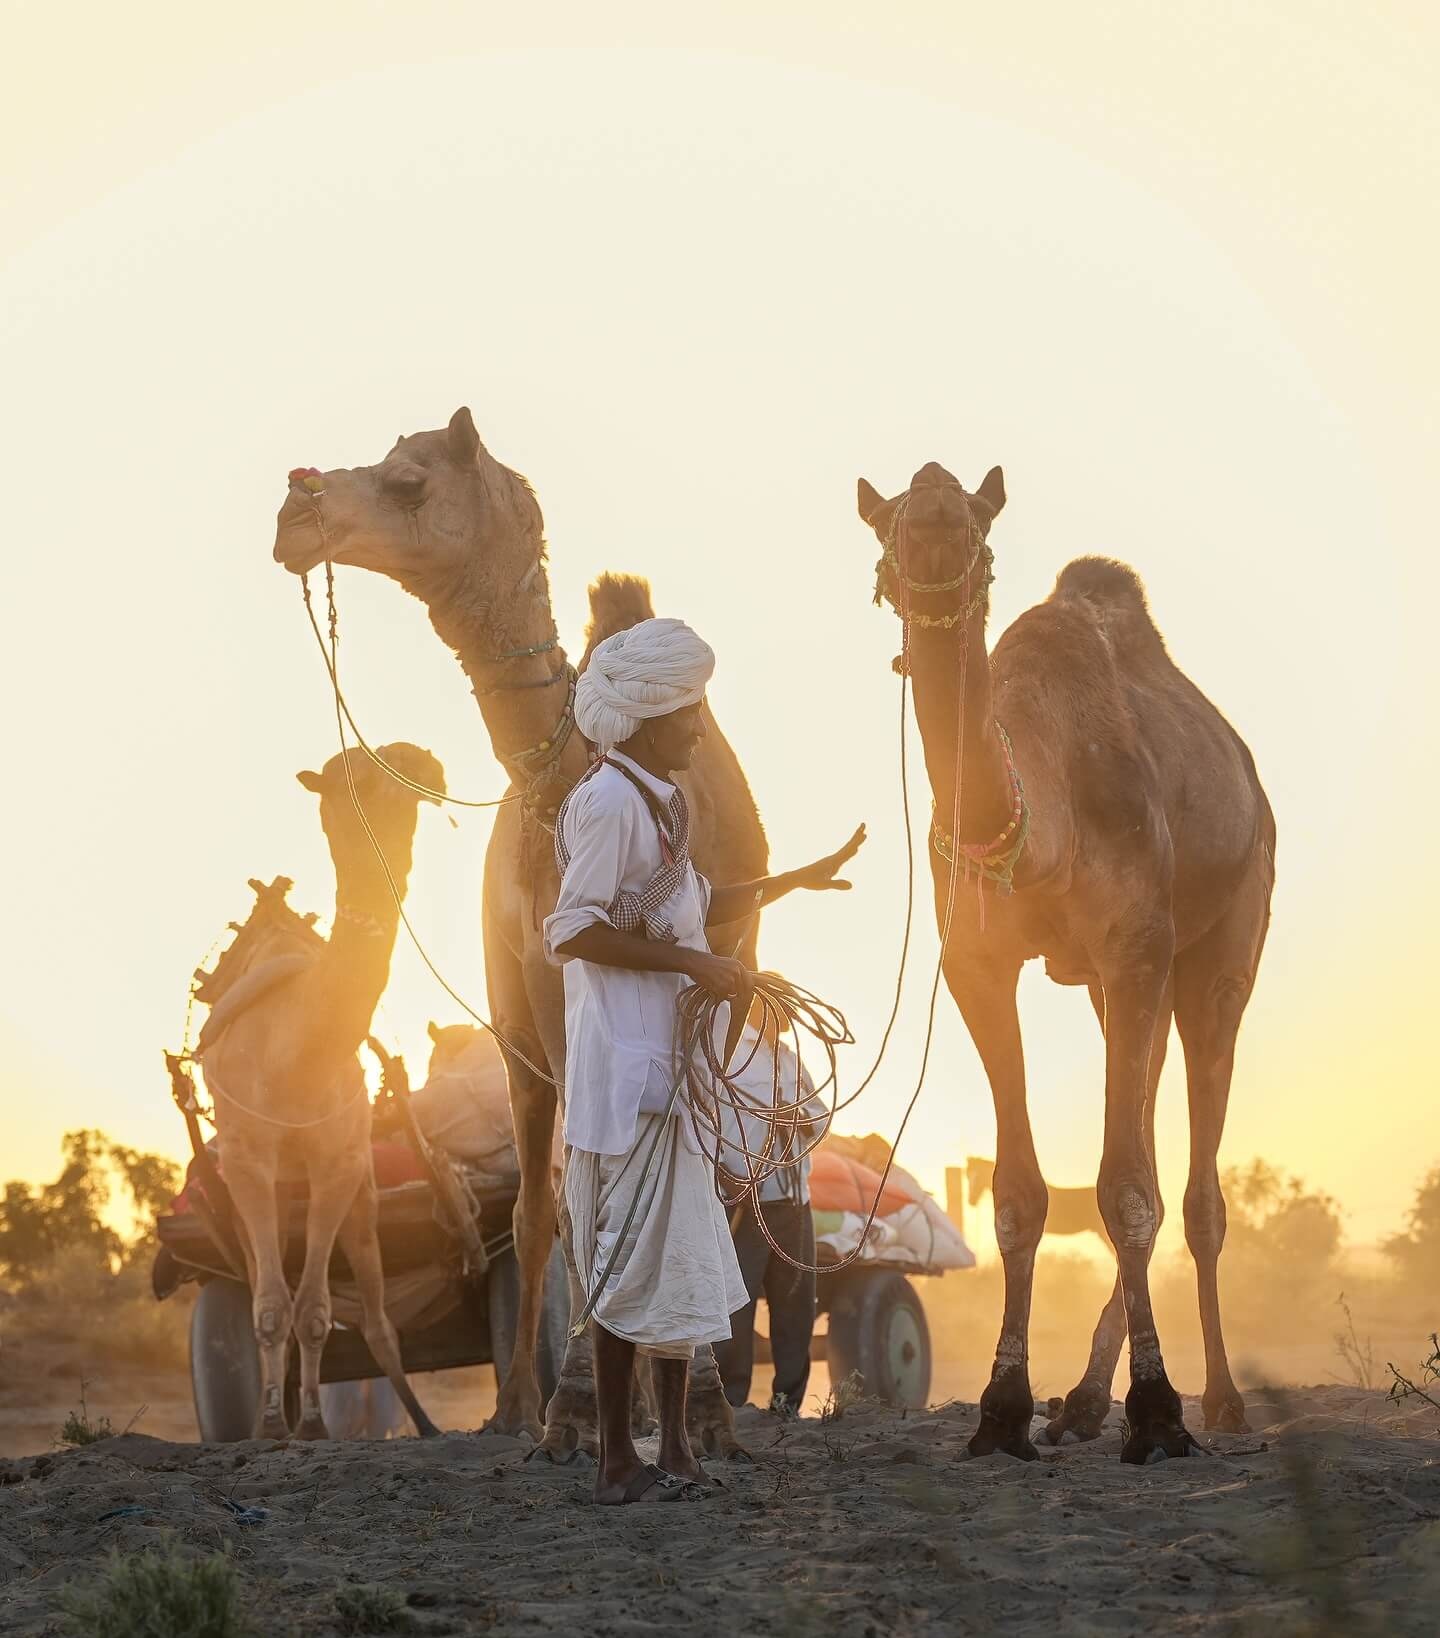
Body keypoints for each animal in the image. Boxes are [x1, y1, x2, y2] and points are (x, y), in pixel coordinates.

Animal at [193, 742, 447, 1440]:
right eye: (355, 774)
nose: (423, 761)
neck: (298, 1054)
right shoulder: (248, 1161)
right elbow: (270, 1308)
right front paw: (271, 1426)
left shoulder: (339, 1163)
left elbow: (314, 1309)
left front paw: (310, 1424)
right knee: (263, 1284)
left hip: (361, 1193)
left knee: (378, 1319)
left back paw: (424, 1424)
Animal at [272, 410, 769, 1459]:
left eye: (408, 481)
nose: (296, 510)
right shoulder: (546, 981)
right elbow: (578, 1195)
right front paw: (577, 1408)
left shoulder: (714, 968)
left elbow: (691, 1175)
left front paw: (702, 1407)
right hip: (514, 1027)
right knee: (539, 1205)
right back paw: (525, 1406)